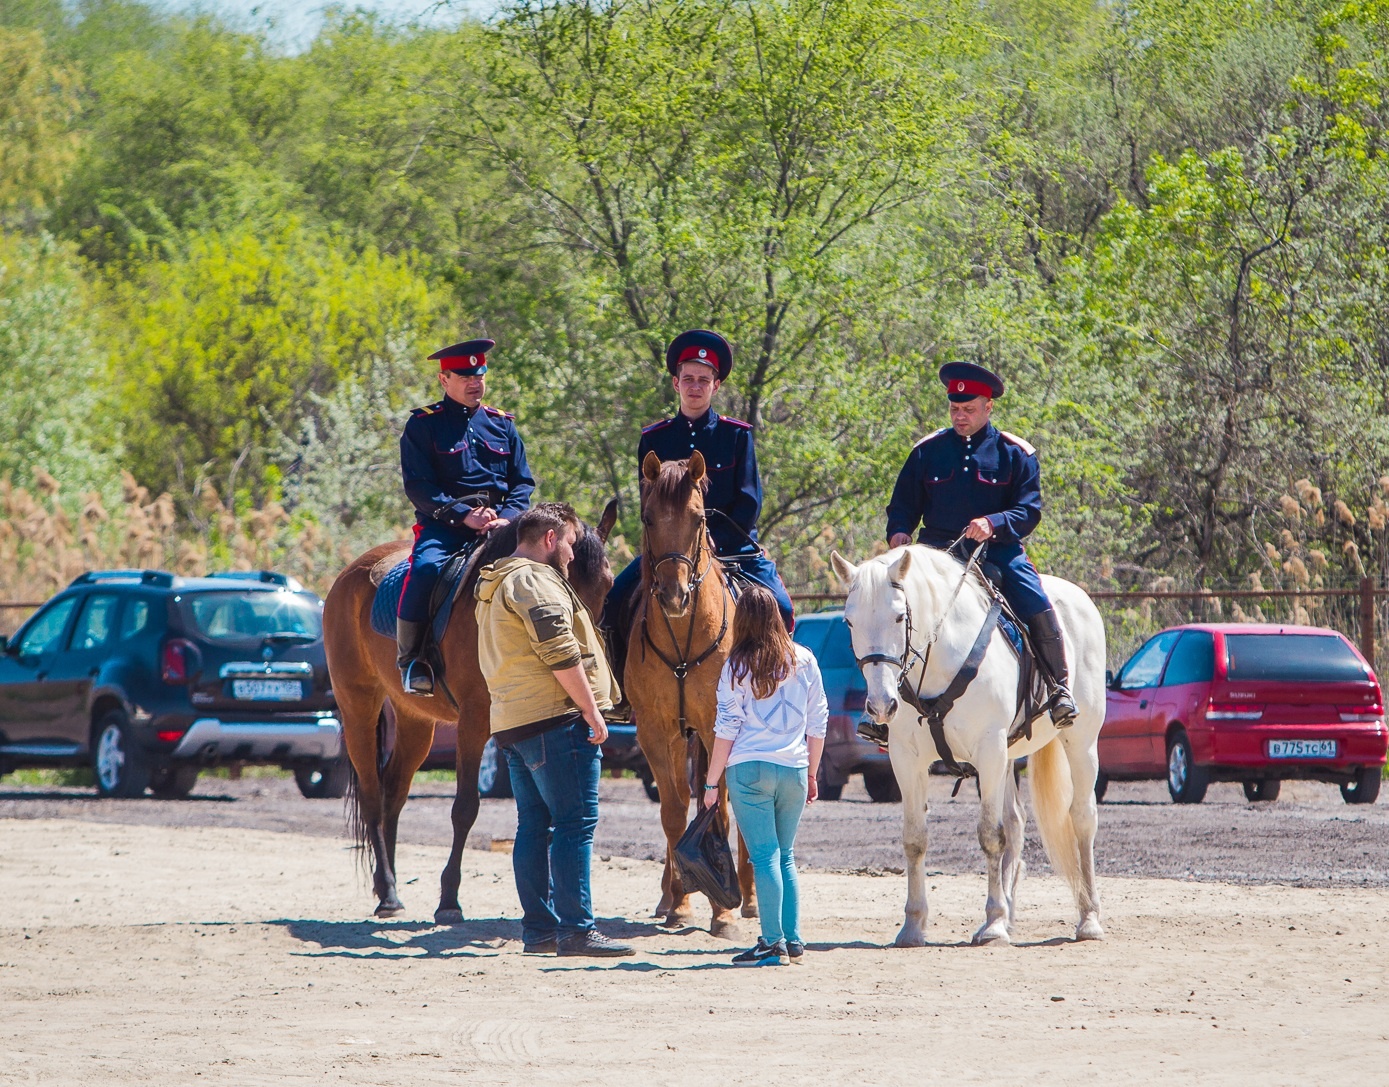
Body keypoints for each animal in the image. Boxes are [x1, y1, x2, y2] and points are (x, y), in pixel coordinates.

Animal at [323, 502, 613, 916]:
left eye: (607, 585)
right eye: (556, 580)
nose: (582, 659)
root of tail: (350, 574)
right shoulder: (474, 723)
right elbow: (465, 808)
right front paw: (449, 899)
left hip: (414, 721)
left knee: (393, 791)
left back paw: (386, 886)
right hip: (358, 706)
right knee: (372, 795)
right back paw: (390, 894)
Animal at [633, 449, 761, 932]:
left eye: (697, 517)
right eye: (648, 517)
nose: (674, 596)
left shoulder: (715, 728)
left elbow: (720, 811)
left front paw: (724, 912)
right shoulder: (656, 731)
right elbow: (674, 811)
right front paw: (681, 903)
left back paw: (750, 898)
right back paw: (670, 897)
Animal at [822, 549, 1105, 949]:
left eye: (899, 616)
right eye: (849, 621)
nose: (880, 705)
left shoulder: (988, 750)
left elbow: (990, 835)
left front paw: (993, 925)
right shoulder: (907, 759)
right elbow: (915, 839)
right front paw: (913, 926)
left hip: (1079, 744)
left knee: (1081, 819)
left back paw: (1088, 919)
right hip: (1007, 758)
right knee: (1016, 823)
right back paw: (1012, 914)